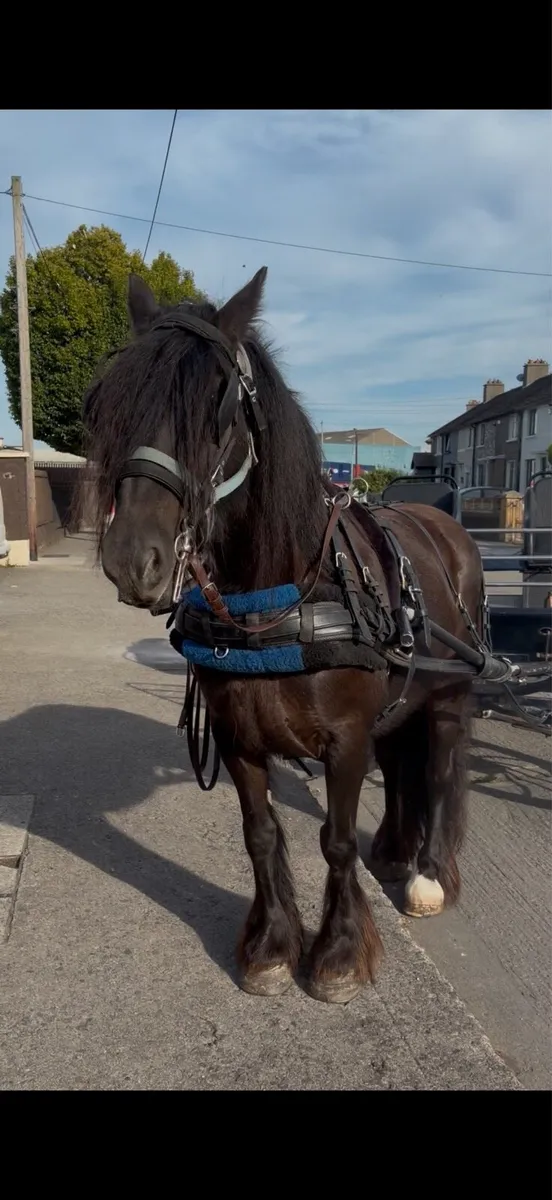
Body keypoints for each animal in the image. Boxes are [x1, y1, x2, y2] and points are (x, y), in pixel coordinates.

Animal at [83, 267, 485, 1006]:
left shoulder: (346, 740)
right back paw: (395, 851)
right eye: (108, 402)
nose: (132, 560)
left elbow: (334, 840)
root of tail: (444, 525)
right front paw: (272, 946)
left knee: (440, 766)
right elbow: (261, 833)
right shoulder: (237, 736)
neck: (274, 599)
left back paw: (430, 874)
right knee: (403, 765)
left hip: (449, 693)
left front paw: (338, 955)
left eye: (217, 403)